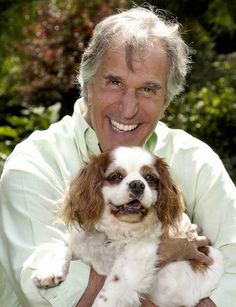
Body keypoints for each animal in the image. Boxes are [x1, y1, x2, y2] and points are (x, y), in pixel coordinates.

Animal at [32, 147, 224, 307]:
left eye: (150, 178)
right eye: (116, 176)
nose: (138, 184)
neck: (116, 231)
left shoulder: (134, 263)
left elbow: (107, 294)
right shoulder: (81, 243)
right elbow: (63, 246)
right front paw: (48, 271)